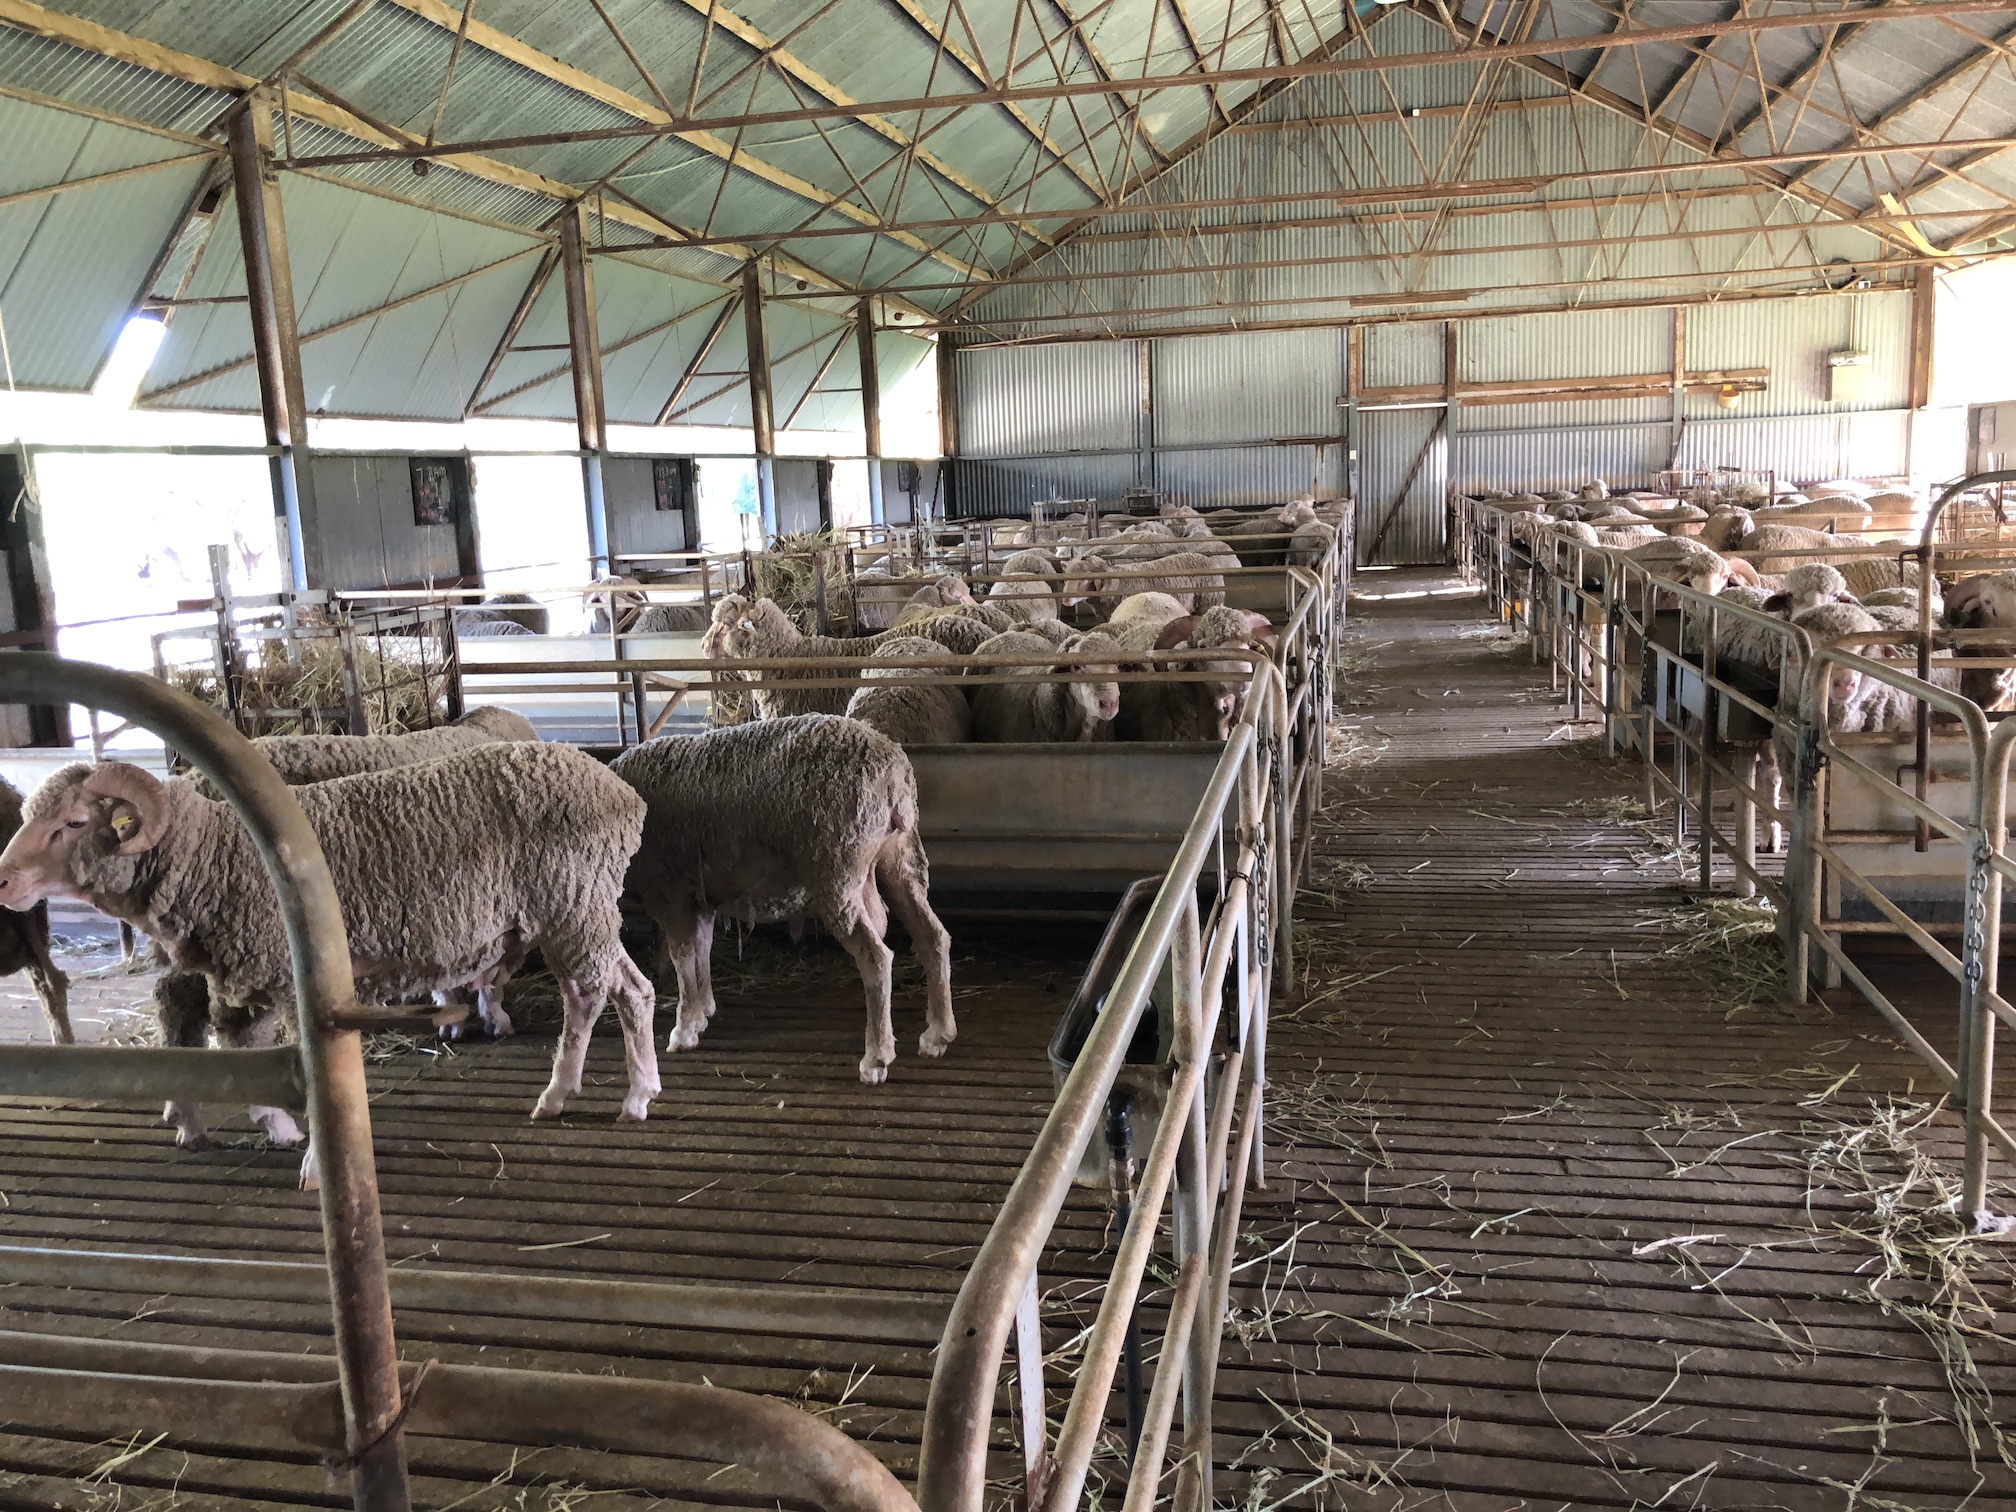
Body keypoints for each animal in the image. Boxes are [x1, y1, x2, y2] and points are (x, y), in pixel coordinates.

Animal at [0, 745, 653, 1161]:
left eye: (74, 822)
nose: (3, 879)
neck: (217, 851)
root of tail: (622, 792)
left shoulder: (282, 970)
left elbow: (286, 1058)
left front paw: (309, 1146)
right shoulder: (252, 970)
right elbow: (240, 1041)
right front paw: (278, 1126)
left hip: (573, 903)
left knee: (601, 992)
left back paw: (601, 1097)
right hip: (582, 908)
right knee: (617, 990)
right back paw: (602, 1094)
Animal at [608, 721, 955, 1088]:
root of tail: (894, 771)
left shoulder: (671, 892)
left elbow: (683, 959)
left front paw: (685, 1027)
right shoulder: (698, 897)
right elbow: (702, 949)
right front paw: (704, 1010)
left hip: (837, 869)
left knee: (876, 958)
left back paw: (876, 1057)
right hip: (898, 858)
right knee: (933, 936)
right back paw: (938, 1034)